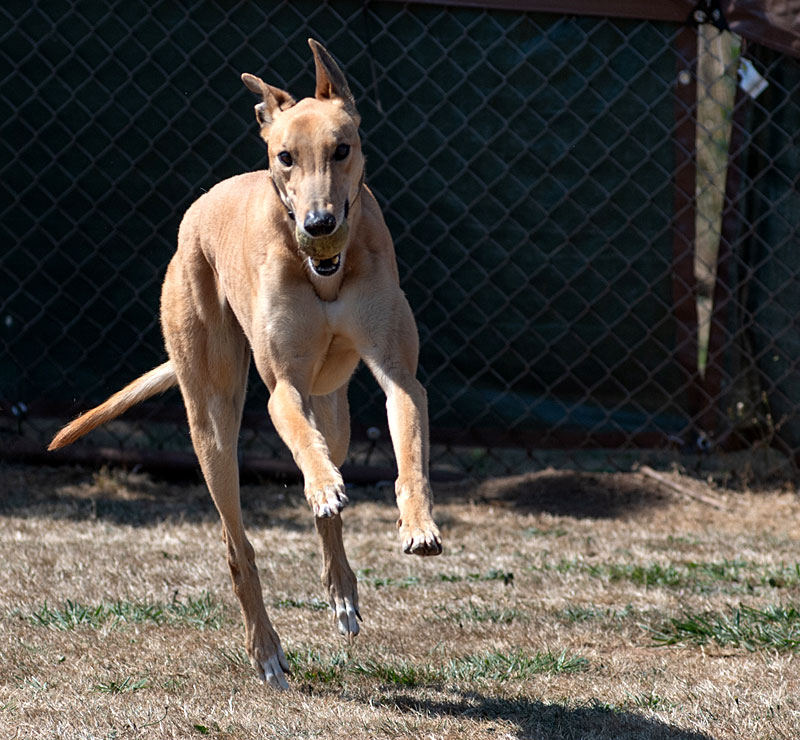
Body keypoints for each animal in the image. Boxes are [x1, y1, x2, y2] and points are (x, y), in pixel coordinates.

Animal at [48, 39, 444, 688]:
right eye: (285, 158)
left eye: (342, 149)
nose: (319, 224)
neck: (323, 273)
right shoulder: (282, 389)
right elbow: (301, 446)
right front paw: (326, 488)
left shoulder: (398, 375)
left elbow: (408, 450)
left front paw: (418, 526)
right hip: (212, 419)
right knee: (239, 543)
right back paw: (267, 649)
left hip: (333, 408)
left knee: (327, 475)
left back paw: (341, 590)